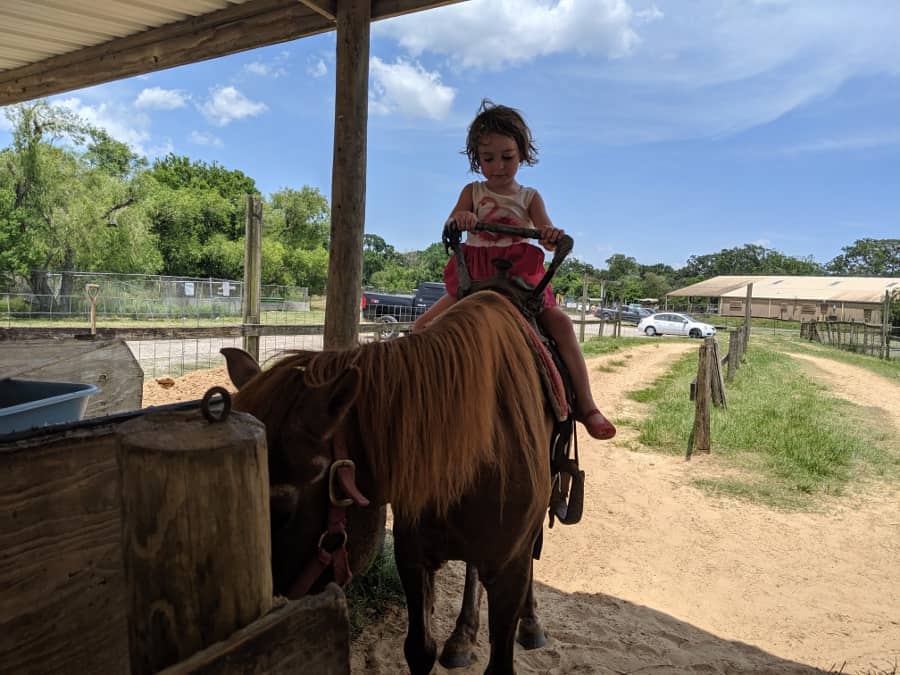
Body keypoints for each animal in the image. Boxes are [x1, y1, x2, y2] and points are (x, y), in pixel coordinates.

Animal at [221, 292, 552, 675]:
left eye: (280, 511)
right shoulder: (414, 558)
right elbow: (420, 649)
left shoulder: (509, 571)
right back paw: (463, 637)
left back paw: (531, 624)